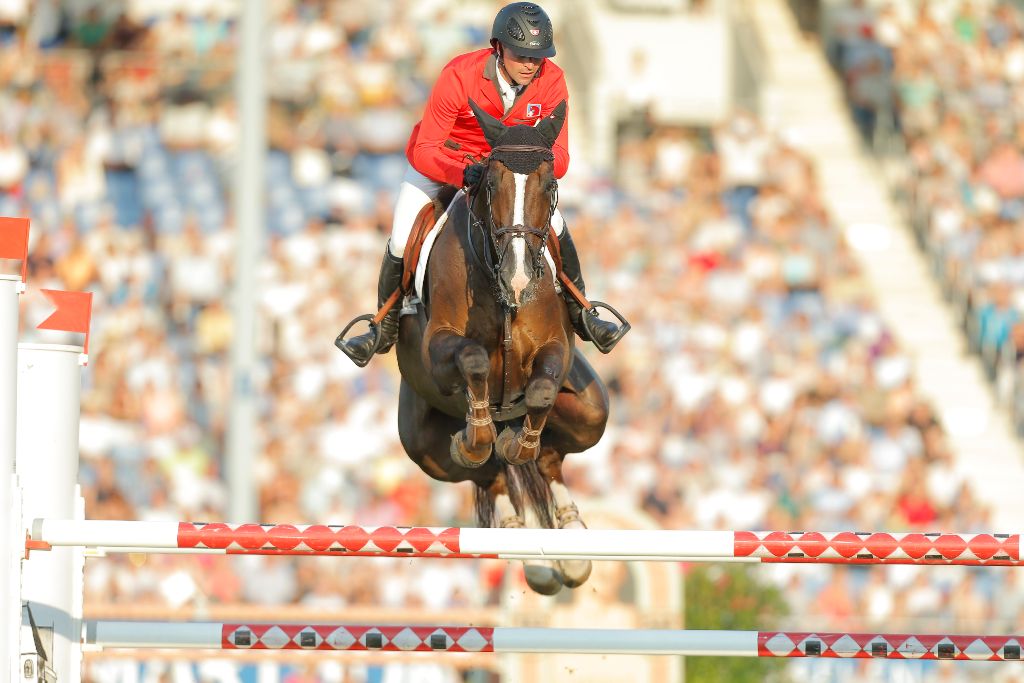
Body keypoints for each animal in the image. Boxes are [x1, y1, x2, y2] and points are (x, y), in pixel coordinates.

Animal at [395, 98, 610, 593]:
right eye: (491, 184)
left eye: (550, 184)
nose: (519, 278)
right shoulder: (439, 348)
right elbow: (473, 360)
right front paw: (477, 434)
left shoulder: (555, 349)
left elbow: (541, 393)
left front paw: (518, 442)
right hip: (424, 450)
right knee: (486, 473)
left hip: (591, 413)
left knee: (546, 458)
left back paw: (570, 548)